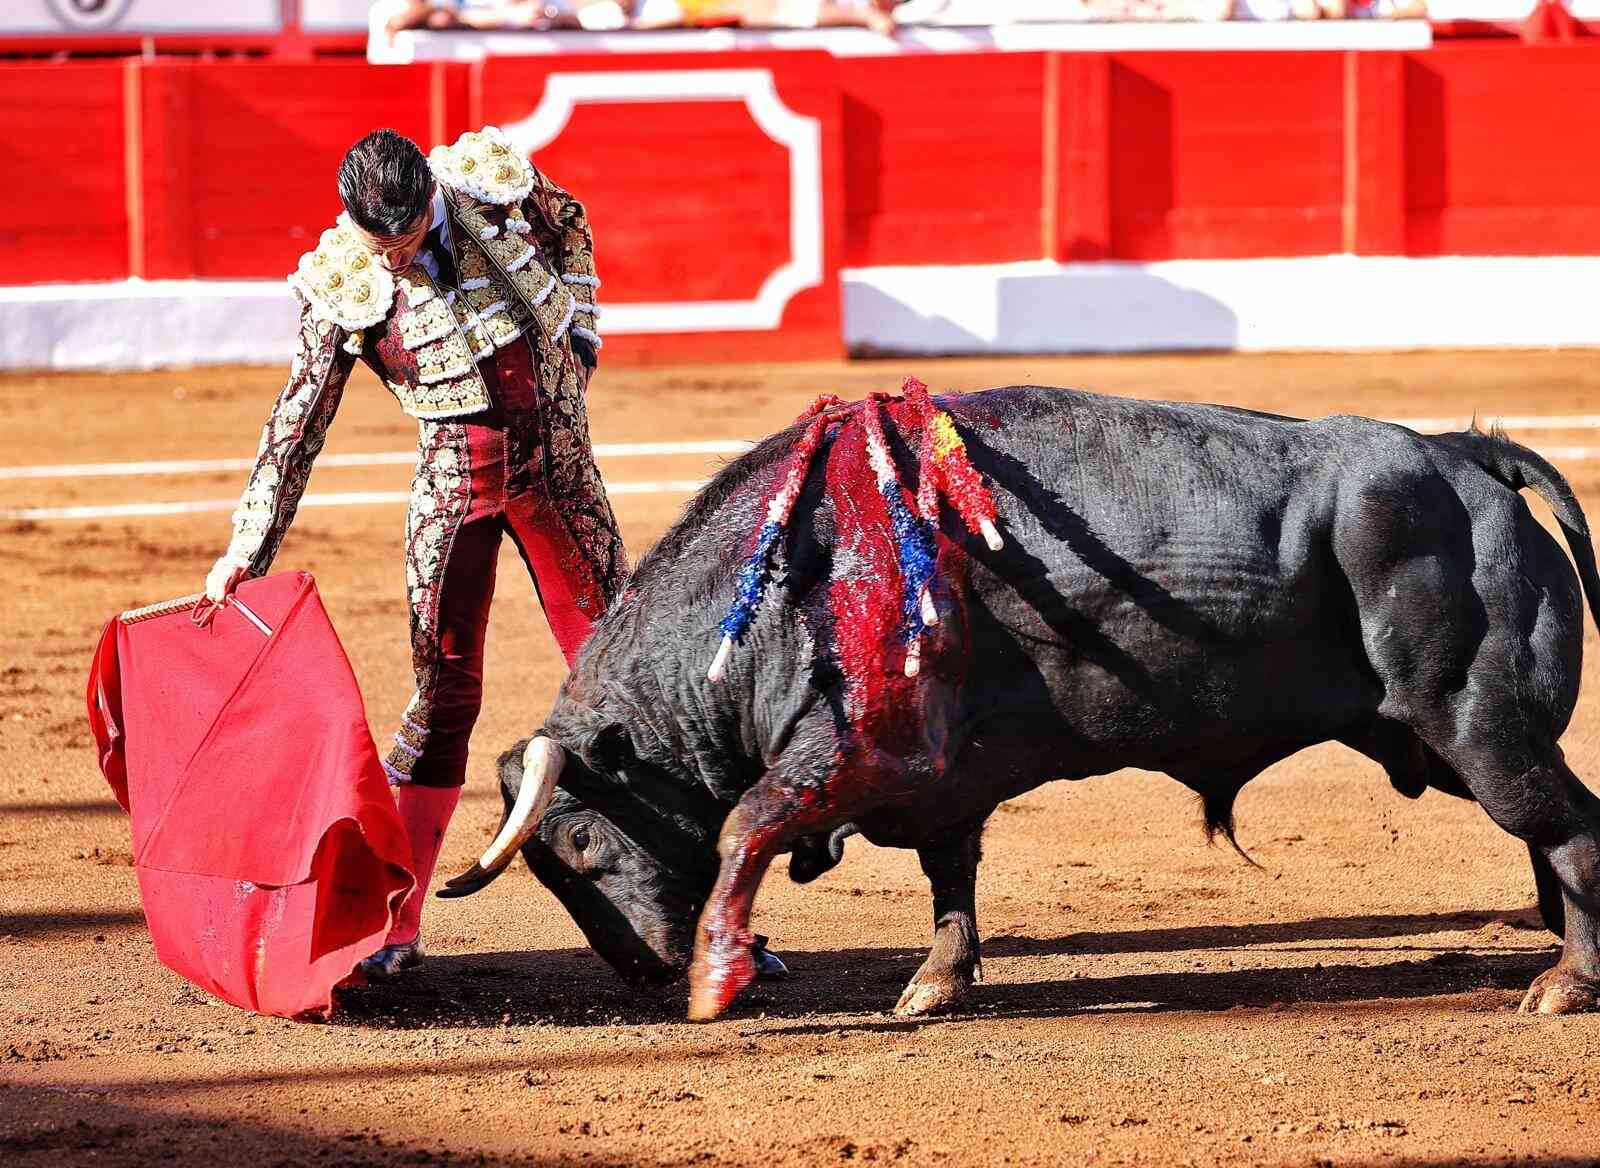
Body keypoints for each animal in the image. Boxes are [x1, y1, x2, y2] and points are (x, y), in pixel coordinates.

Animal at [439, 384, 1600, 1022]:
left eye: (580, 842)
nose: (646, 969)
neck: (789, 575)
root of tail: (1462, 453)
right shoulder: (937, 781)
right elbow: (949, 877)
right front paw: (934, 984)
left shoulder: (851, 752)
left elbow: (747, 821)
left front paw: (720, 977)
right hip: (1444, 739)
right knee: (1552, 836)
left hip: (1473, 722)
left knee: (1570, 833)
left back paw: (1567, 984)